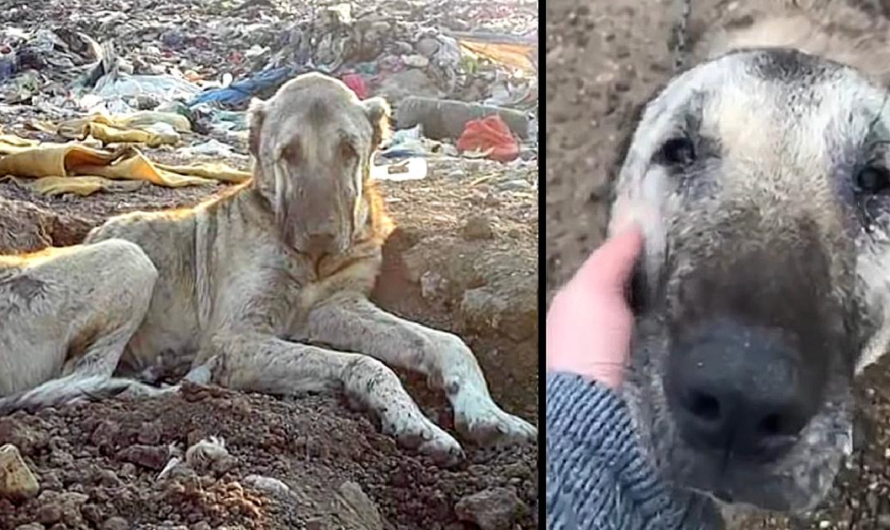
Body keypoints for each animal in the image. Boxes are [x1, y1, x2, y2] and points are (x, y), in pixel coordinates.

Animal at [0, 73, 532, 462]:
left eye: (348, 151)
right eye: (288, 154)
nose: (322, 235)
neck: (307, 262)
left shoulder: (336, 306)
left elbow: (445, 341)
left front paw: (488, 413)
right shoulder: (236, 341)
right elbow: (366, 363)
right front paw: (416, 422)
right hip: (128, 259)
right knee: (77, 376)